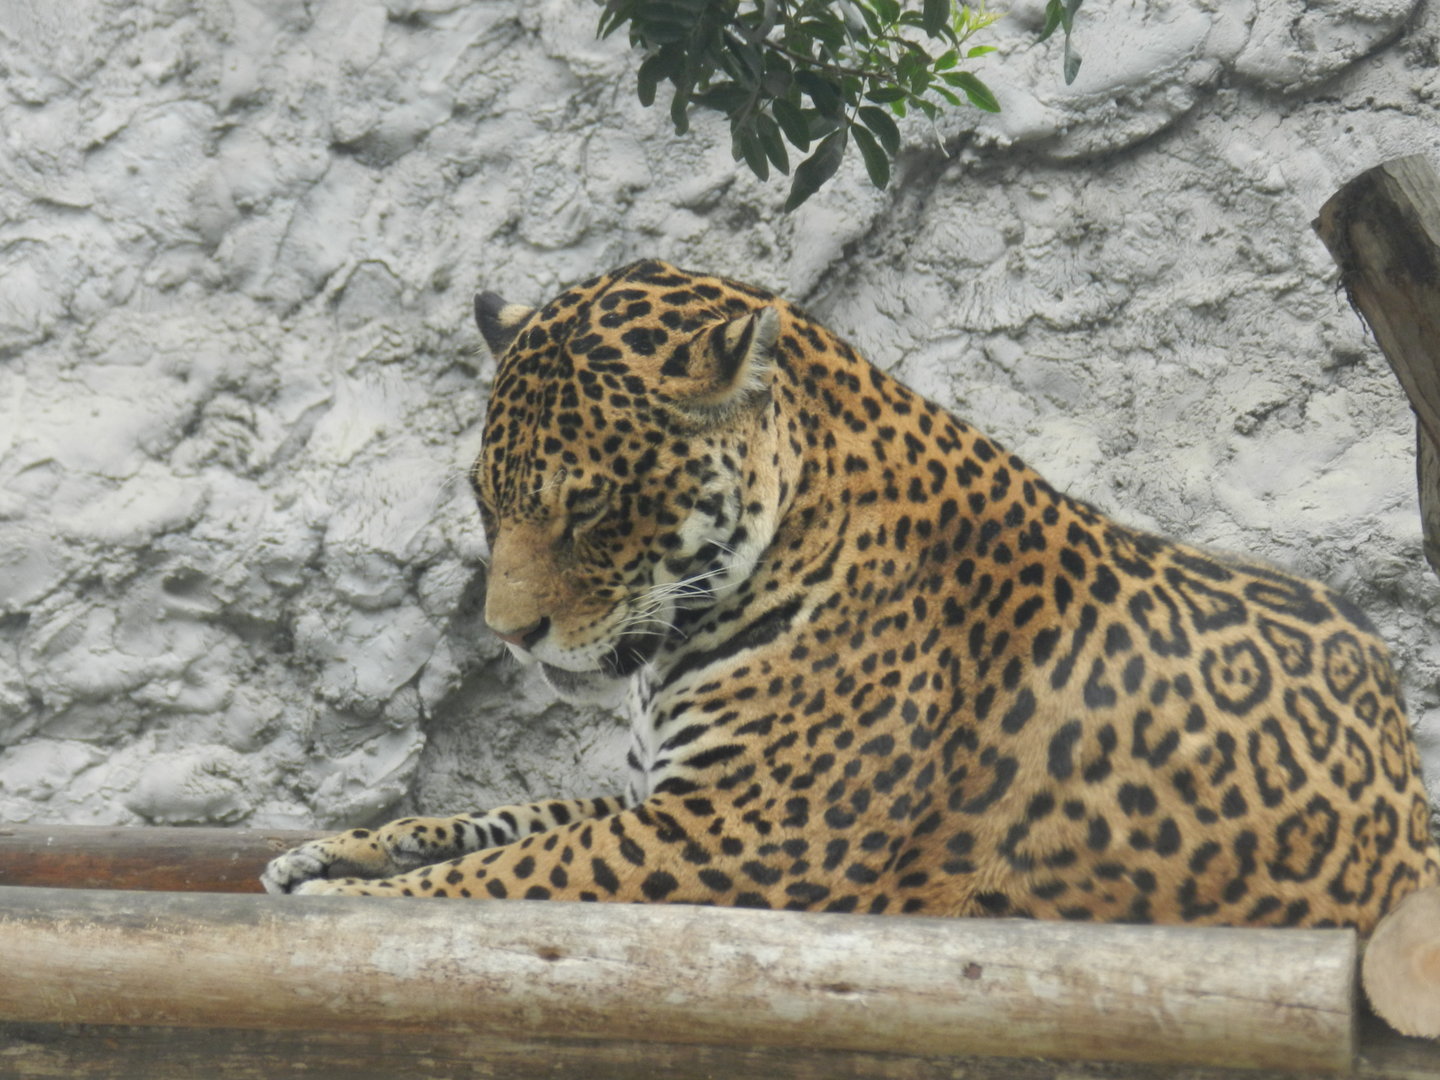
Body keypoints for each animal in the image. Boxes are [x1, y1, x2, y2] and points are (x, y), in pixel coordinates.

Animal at [264, 258, 1440, 934]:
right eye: (483, 500)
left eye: (590, 506)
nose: (509, 637)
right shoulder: (669, 800)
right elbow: (511, 819)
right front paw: (341, 847)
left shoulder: (736, 833)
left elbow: (526, 864)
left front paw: (346, 897)